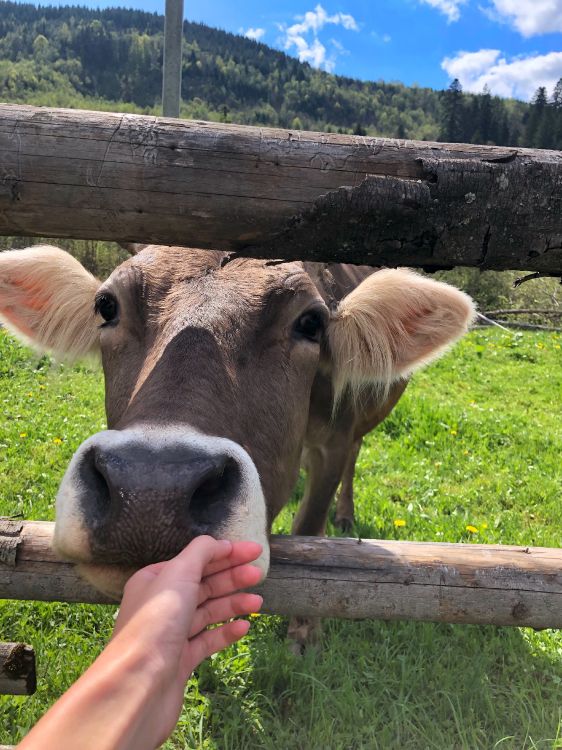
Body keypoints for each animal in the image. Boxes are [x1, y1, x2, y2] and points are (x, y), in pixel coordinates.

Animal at [0, 244, 475, 621]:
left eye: (311, 323)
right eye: (107, 306)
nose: (151, 492)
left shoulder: (333, 444)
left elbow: (309, 525)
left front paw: (304, 631)